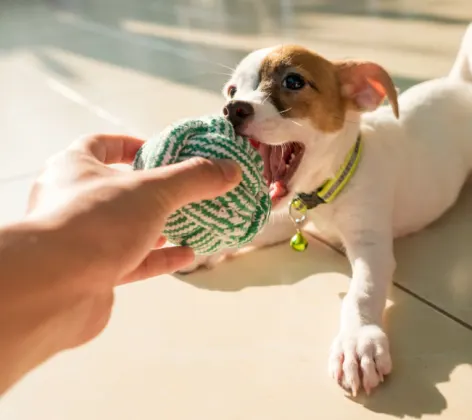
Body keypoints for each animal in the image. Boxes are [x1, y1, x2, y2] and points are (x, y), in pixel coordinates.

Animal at [182, 24, 472, 396]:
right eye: (232, 90)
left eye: (293, 81)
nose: (231, 109)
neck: (329, 189)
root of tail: (460, 84)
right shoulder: (282, 218)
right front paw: (200, 248)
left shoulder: (371, 248)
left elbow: (361, 293)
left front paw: (357, 342)